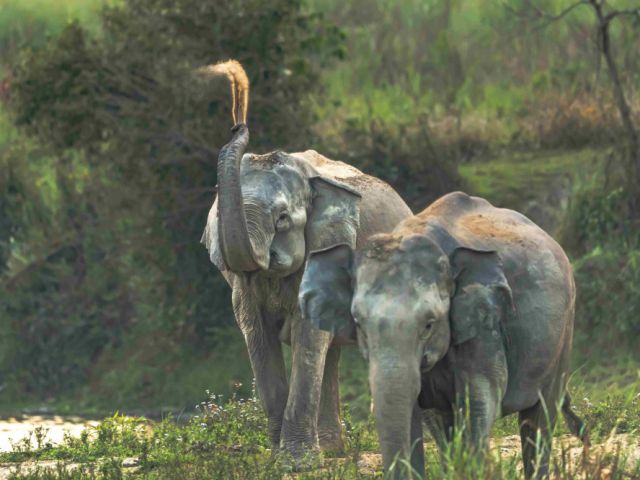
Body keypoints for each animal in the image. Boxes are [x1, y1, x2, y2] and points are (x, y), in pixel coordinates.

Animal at [200, 61, 412, 464]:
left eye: (283, 218)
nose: (238, 121)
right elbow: (256, 333)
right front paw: (278, 456)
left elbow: (306, 333)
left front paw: (296, 461)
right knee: (330, 353)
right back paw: (331, 448)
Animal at [299, 191, 588, 478]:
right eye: (359, 324)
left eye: (429, 325)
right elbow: (421, 415)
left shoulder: (485, 328)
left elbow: (479, 400)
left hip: (564, 333)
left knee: (539, 417)